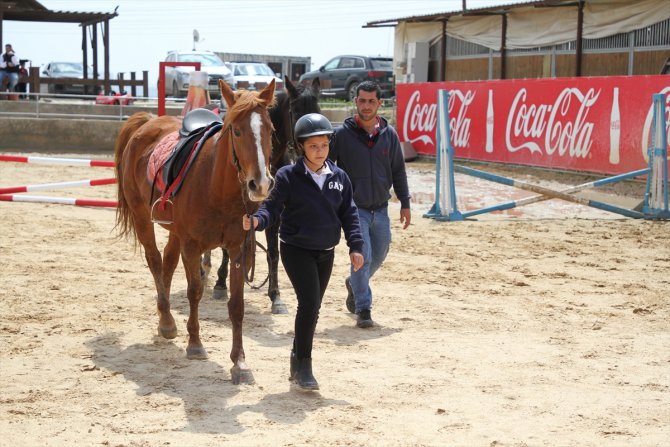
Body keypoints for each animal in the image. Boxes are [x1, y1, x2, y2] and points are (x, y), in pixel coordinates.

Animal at [114, 79, 276, 384]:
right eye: (236, 130)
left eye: (270, 130)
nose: (260, 184)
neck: (216, 186)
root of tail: (148, 121)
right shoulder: (191, 246)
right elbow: (195, 291)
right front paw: (195, 344)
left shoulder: (238, 248)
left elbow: (237, 305)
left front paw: (239, 362)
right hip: (142, 218)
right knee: (155, 261)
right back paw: (167, 321)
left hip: (174, 231)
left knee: (166, 263)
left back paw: (164, 317)